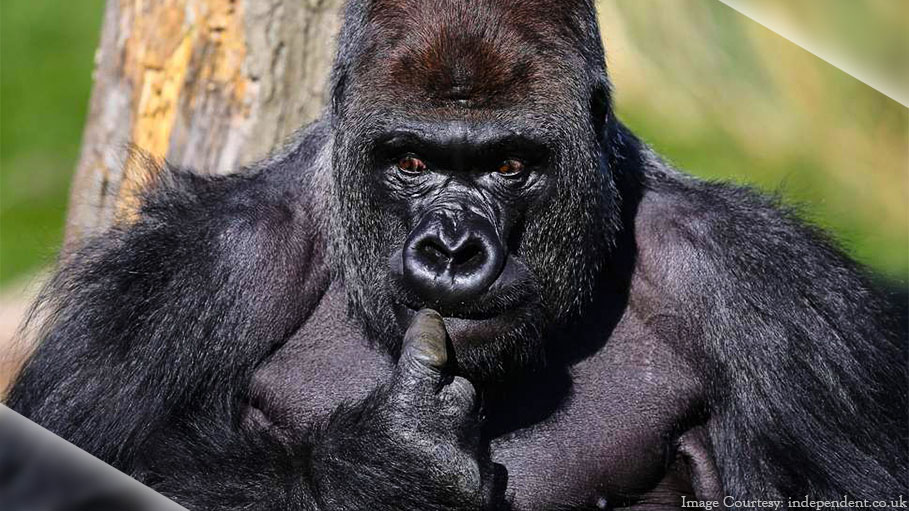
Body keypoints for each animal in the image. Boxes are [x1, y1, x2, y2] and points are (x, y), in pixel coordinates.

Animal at [3, 0, 904, 510]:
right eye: (410, 161)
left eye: (508, 164)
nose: (453, 249)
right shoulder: (177, 275)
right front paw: (376, 468)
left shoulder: (774, 299)